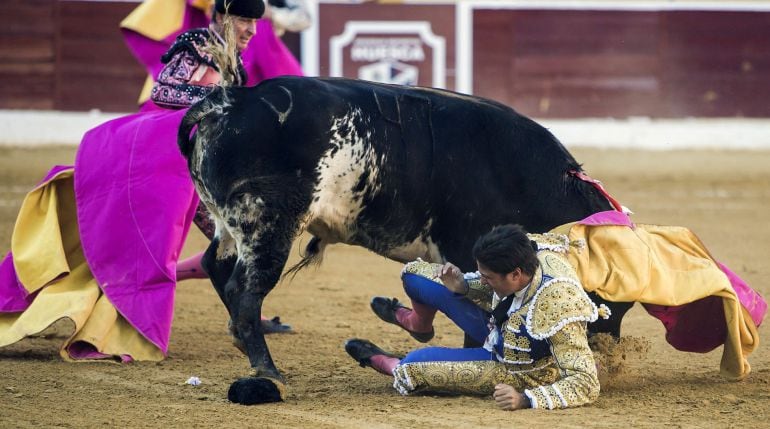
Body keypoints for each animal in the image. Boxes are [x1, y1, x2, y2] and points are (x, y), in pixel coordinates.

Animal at [178, 77, 632, 404]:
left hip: (230, 224)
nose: (607, 360)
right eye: (600, 301)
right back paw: (268, 372)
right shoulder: (466, 250)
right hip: (268, 223)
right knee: (245, 290)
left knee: (215, 266)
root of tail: (229, 101)